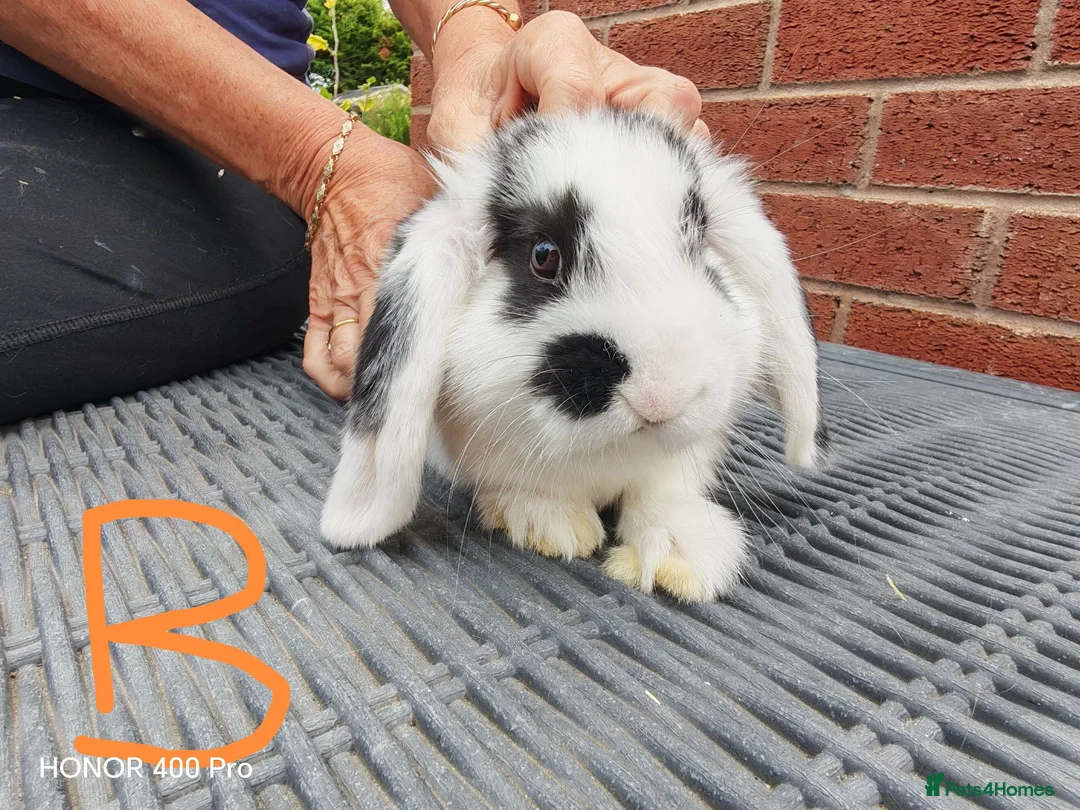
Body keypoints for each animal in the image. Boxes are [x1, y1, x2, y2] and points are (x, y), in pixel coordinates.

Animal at [320, 107, 828, 602]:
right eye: (544, 255)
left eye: (701, 245)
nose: (660, 397)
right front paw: (552, 526)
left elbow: (661, 493)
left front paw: (680, 556)